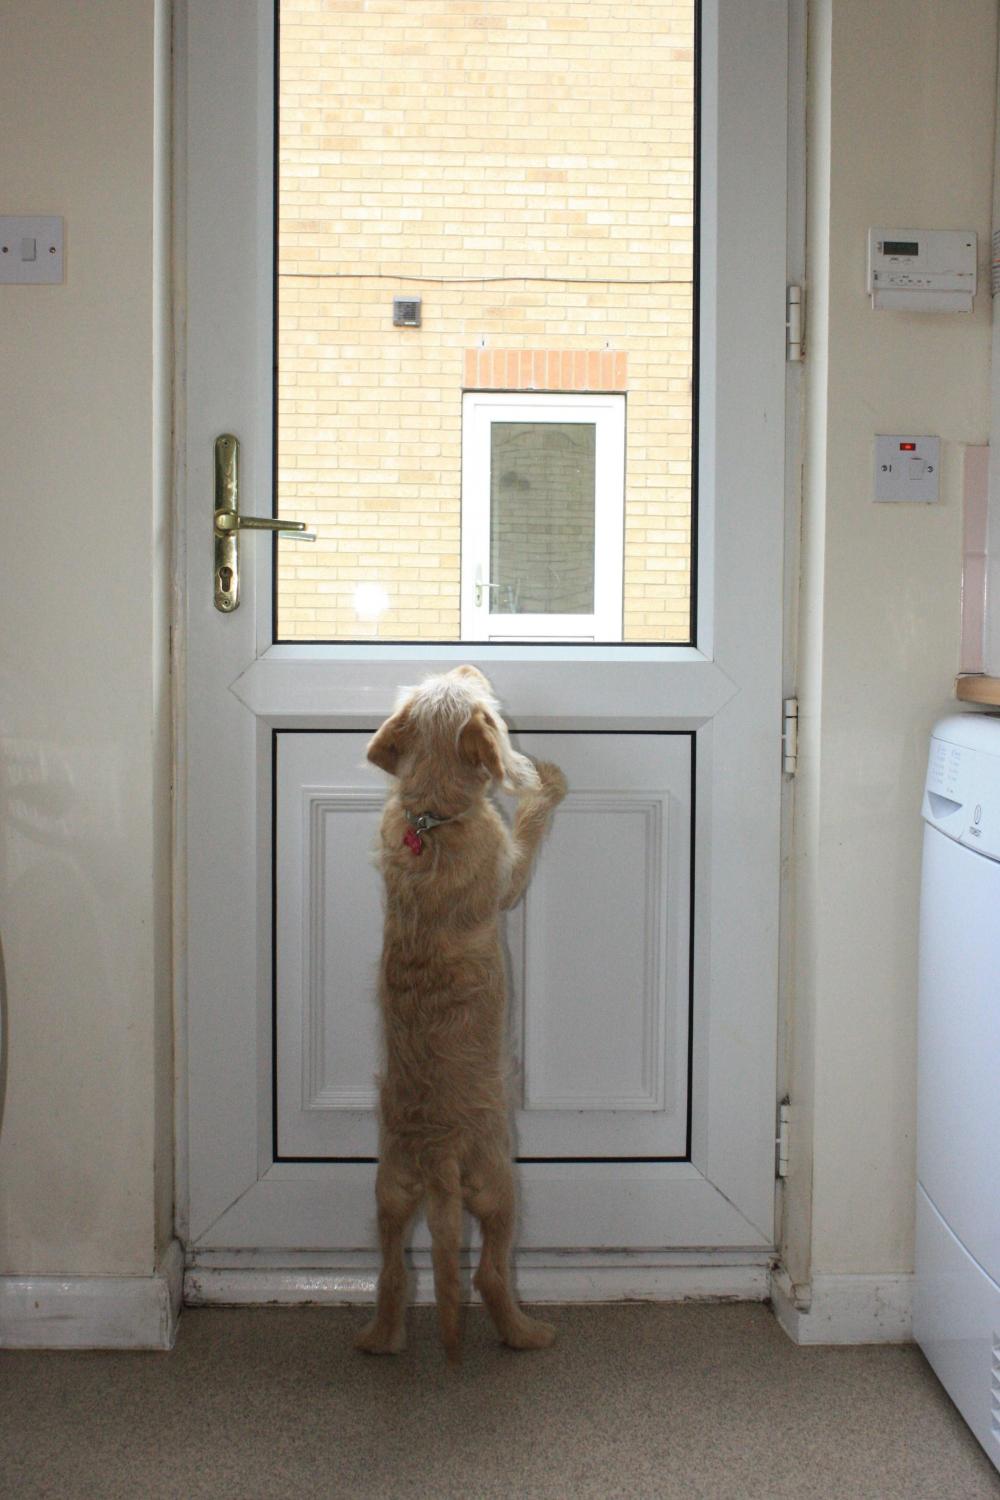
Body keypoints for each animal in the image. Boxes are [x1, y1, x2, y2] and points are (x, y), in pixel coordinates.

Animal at [355, 666, 566, 1362]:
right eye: (487, 709)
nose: (471, 667)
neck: (431, 815)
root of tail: (438, 1153)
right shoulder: (509, 872)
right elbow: (527, 826)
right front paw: (545, 782)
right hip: (500, 1185)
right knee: (489, 1273)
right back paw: (524, 1333)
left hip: (389, 1192)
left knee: (394, 1274)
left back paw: (381, 1339)